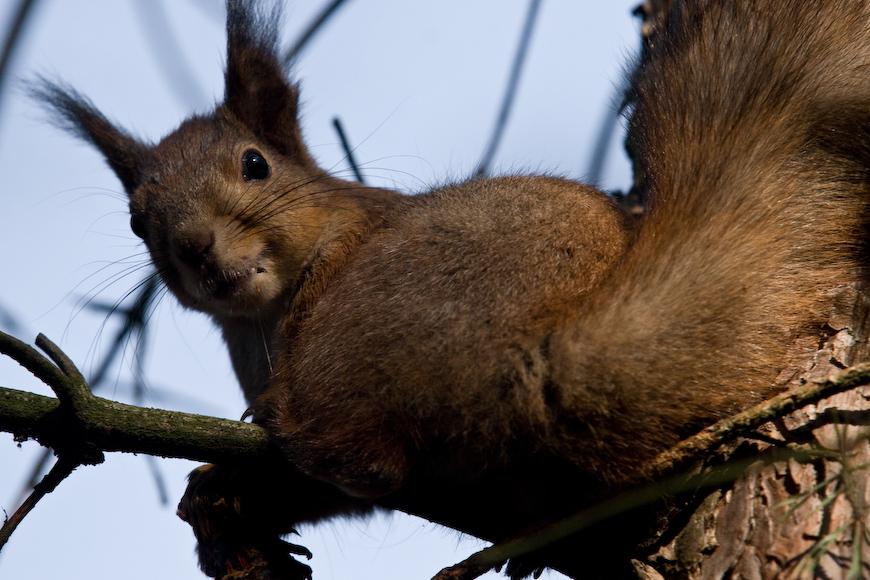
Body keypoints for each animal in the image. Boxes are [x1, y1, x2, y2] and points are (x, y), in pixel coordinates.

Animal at [37, 1, 870, 580]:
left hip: (364, 335)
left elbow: (361, 483)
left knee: (366, 461)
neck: (262, 319)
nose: (196, 249)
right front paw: (227, 516)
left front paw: (230, 493)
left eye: (254, 165)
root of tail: (528, 363)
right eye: (137, 219)